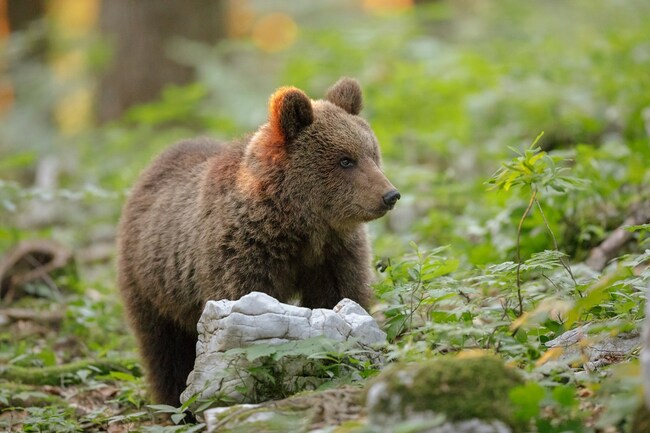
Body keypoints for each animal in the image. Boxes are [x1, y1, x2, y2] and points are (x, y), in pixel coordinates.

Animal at [118, 77, 398, 404]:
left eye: (372, 153)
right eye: (345, 160)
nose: (390, 195)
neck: (299, 225)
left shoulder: (334, 252)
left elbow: (339, 297)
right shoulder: (242, 252)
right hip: (153, 284)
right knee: (165, 350)